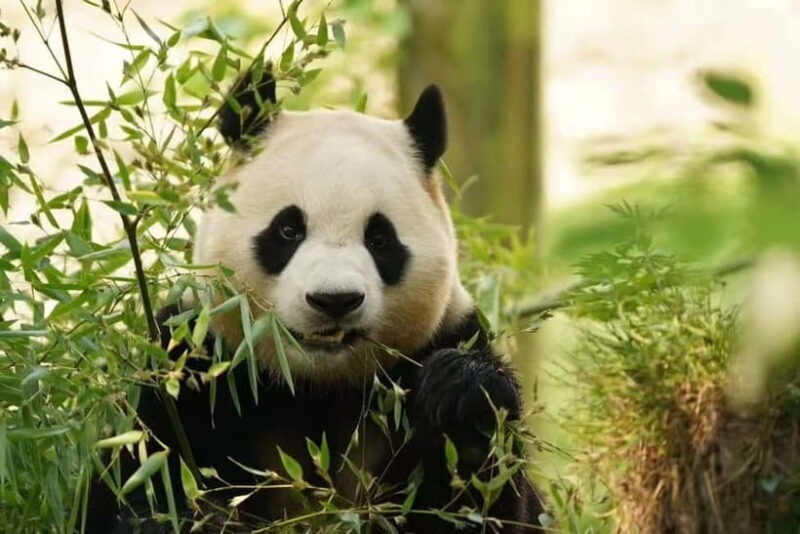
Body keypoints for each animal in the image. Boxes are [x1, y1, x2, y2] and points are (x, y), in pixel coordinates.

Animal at [87, 69, 543, 533]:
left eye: (380, 239)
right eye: (288, 230)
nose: (334, 300)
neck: (318, 387)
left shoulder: (443, 338)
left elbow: (488, 500)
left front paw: (462, 398)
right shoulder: (190, 367)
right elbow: (144, 482)